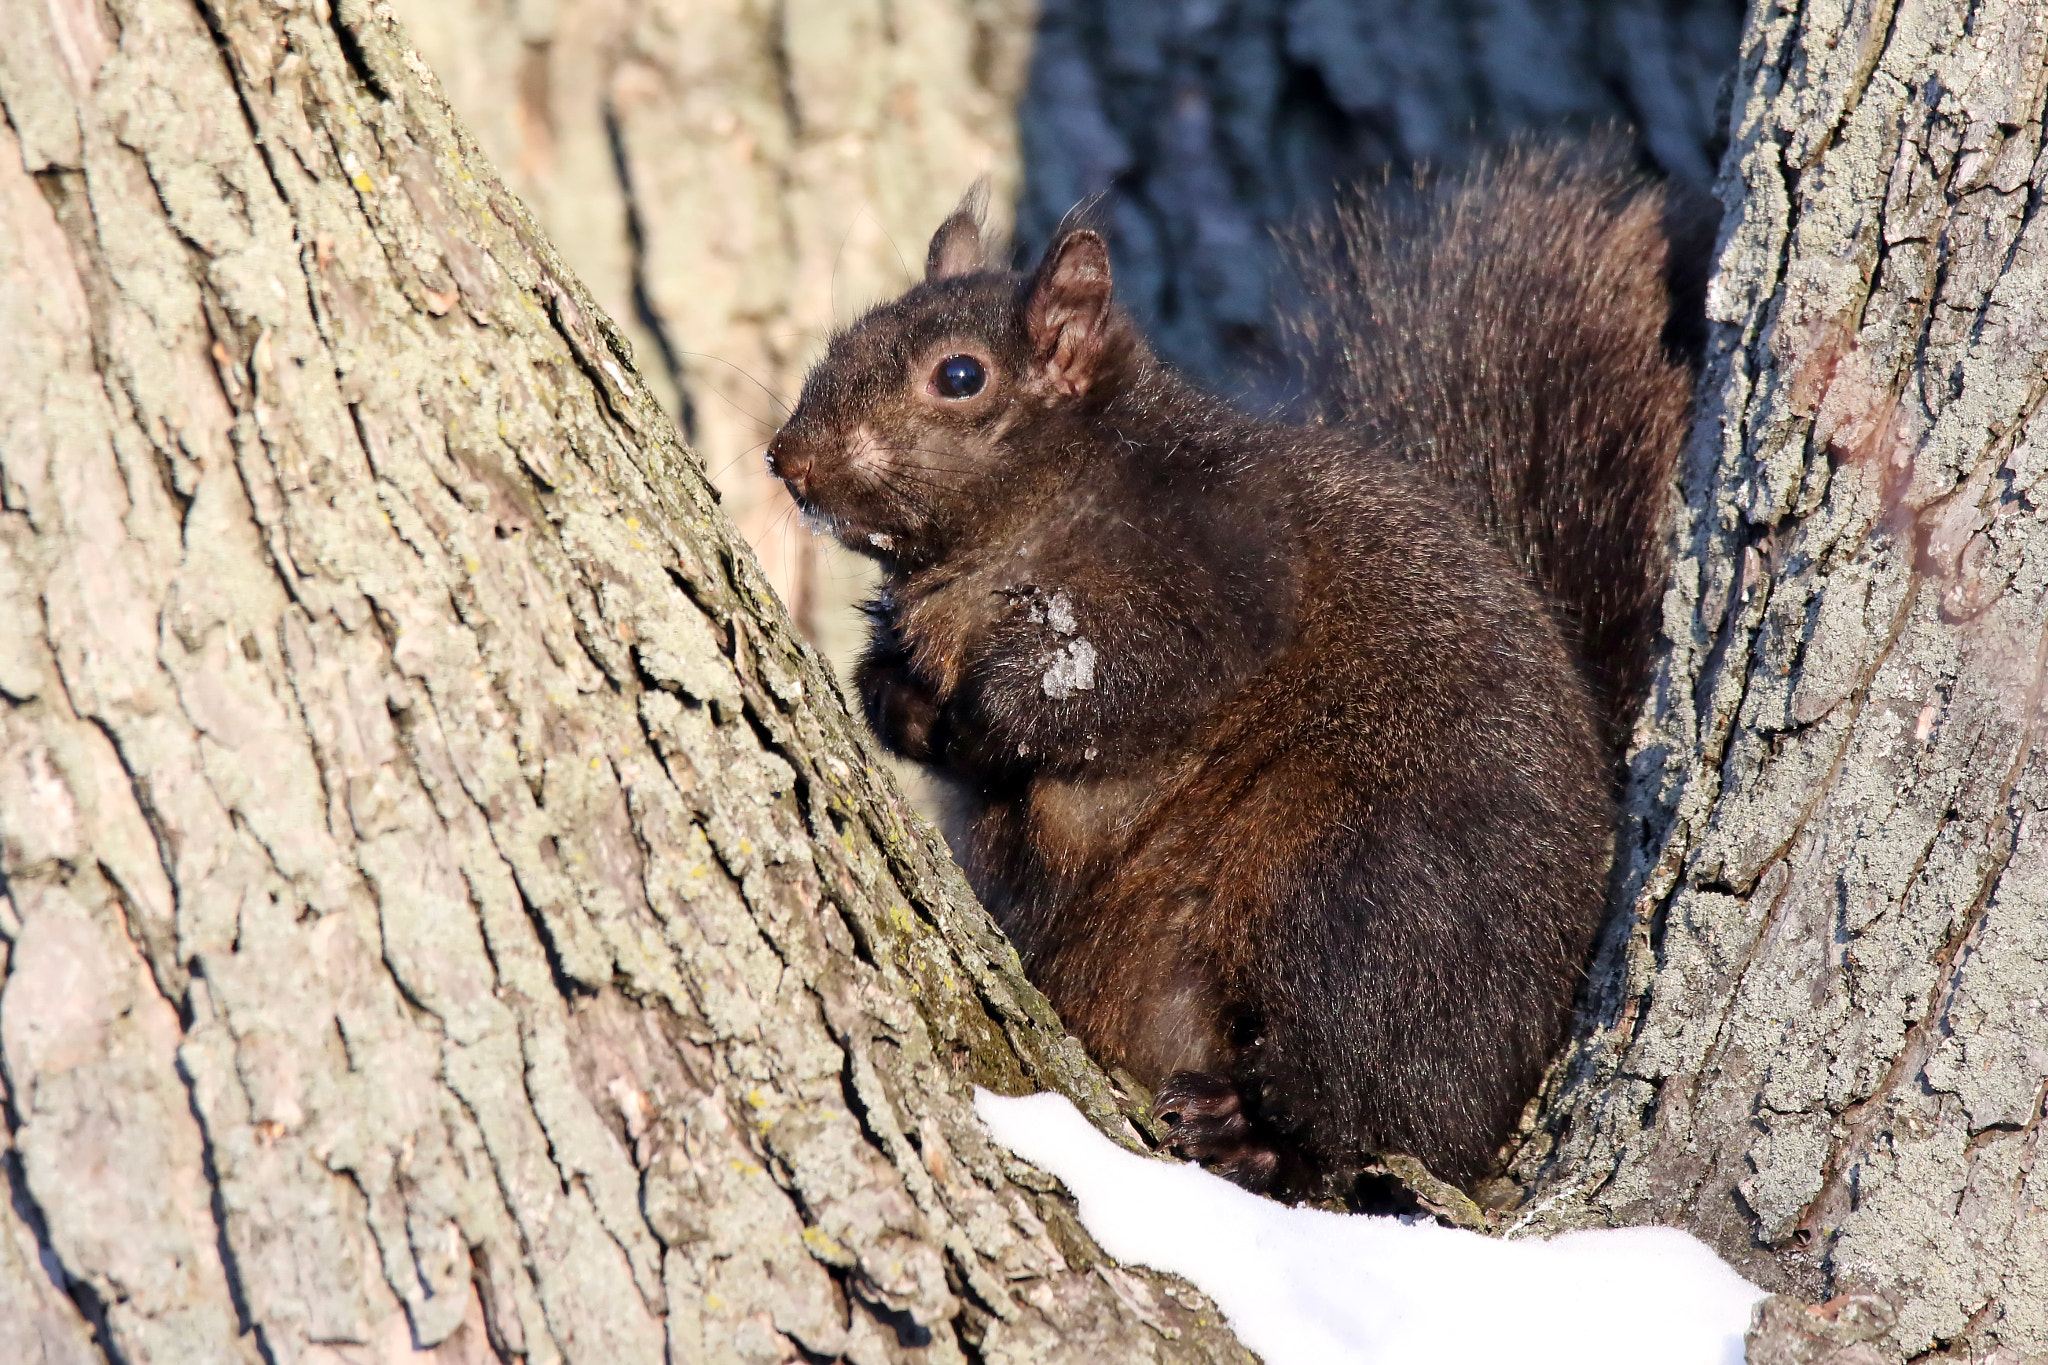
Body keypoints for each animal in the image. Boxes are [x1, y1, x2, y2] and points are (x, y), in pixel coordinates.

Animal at [765, 146, 1694, 1194]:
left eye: (959, 375)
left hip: (1361, 899)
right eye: (849, 334)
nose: (788, 460)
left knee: (1371, 1114)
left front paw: (996, 700)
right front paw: (903, 700)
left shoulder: (1222, 568)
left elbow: (1133, 677)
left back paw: (1247, 1129)